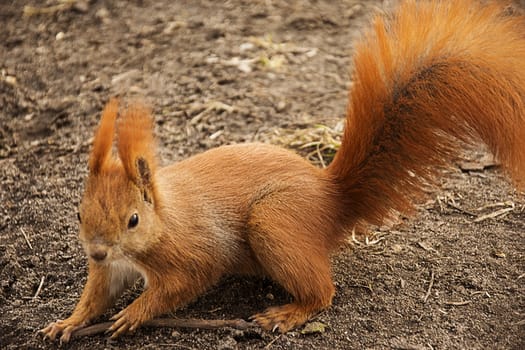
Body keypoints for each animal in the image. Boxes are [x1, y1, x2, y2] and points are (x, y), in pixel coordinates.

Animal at [40, 0, 524, 344]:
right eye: (79, 214)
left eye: (134, 220)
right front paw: (67, 322)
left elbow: (181, 284)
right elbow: (95, 296)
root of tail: (332, 198)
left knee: (323, 292)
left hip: (274, 221)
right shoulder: (111, 269)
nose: (96, 252)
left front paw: (134, 313)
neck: (160, 223)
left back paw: (288, 313)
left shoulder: (193, 252)